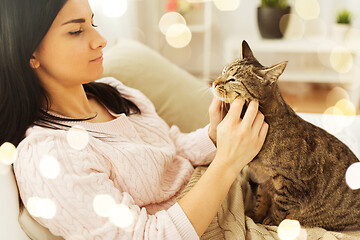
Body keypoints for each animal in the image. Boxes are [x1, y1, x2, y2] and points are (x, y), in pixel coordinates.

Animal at [212, 40, 358, 231]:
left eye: (232, 79)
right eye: (223, 72)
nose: (214, 82)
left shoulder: (291, 186)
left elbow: (279, 207)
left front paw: (271, 222)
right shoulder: (263, 179)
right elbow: (262, 199)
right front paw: (257, 215)